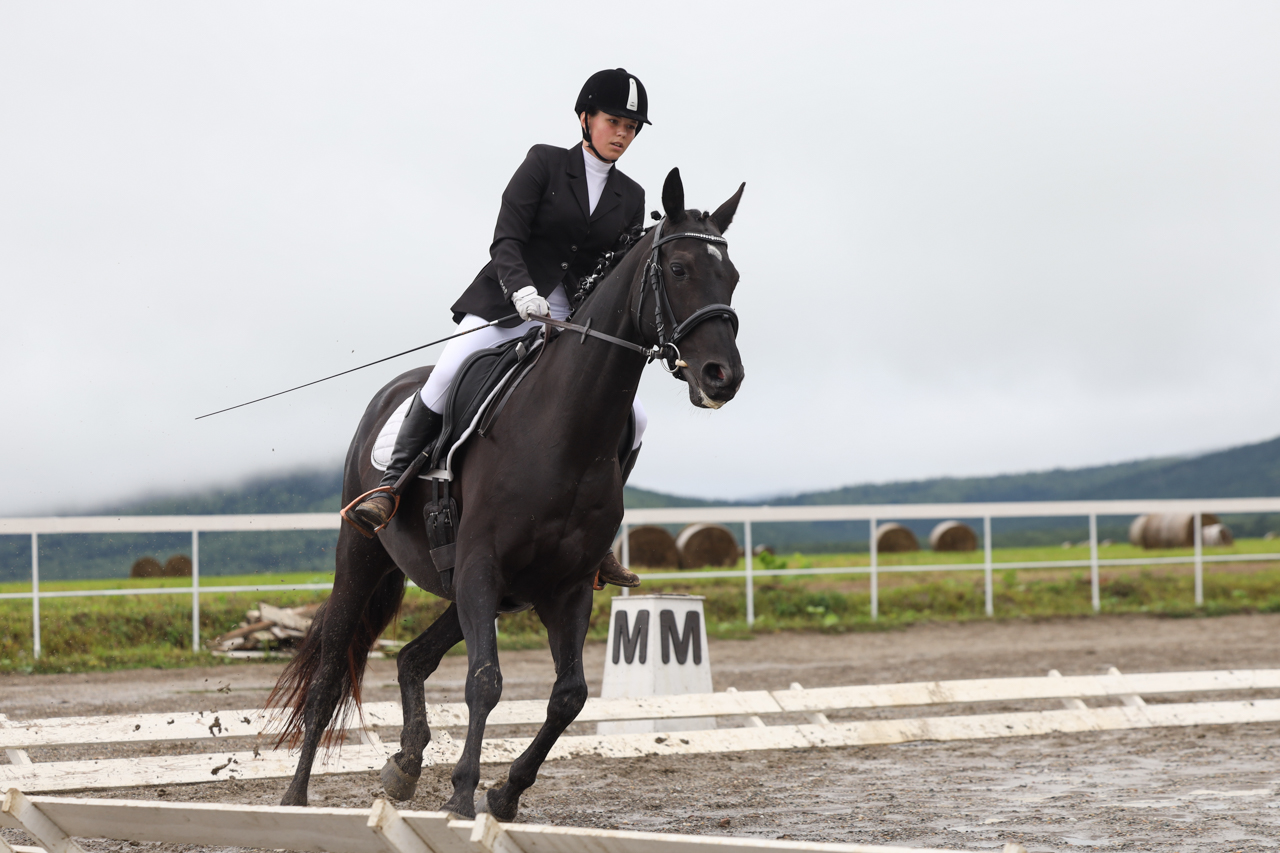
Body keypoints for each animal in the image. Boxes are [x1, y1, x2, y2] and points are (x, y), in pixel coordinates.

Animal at [272, 167, 747, 819]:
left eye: (733, 276)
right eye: (678, 269)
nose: (723, 377)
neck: (565, 429)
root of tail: (389, 392)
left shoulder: (565, 585)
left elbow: (569, 694)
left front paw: (502, 793)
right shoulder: (482, 564)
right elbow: (485, 682)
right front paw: (463, 795)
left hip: (476, 591)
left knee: (412, 657)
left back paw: (404, 767)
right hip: (365, 558)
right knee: (328, 673)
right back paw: (295, 797)